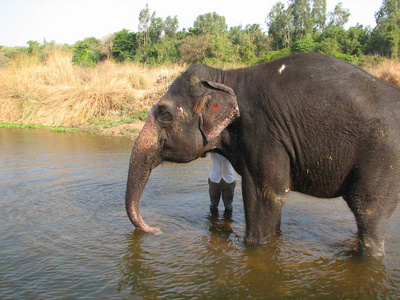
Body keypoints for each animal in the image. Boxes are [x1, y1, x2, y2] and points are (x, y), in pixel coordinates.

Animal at [126, 51, 400, 255]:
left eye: (164, 114)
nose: (156, 229)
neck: (227, 78)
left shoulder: (264, 131)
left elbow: (266, 193)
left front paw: (253, 248)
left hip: (383, 158)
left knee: (368, 211)